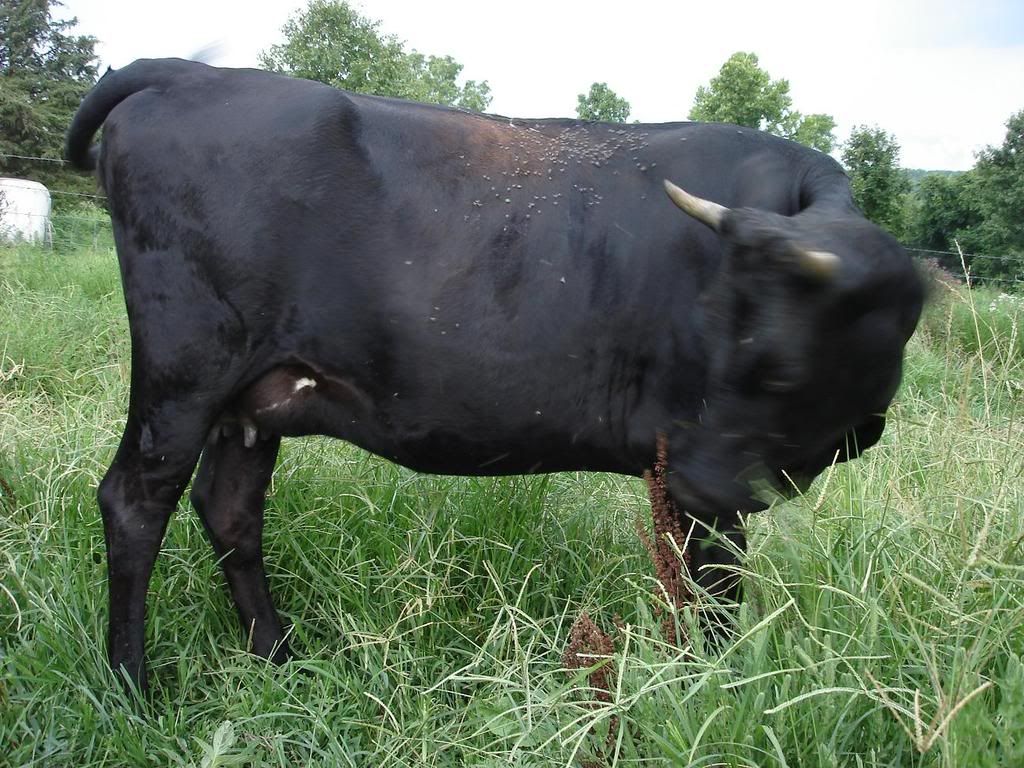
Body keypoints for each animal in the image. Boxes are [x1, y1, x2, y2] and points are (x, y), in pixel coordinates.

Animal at [65, 58, 923, 692]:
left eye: (779, 366)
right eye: (723, 334)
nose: (693, 475)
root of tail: (193, 71)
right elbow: (715, 583)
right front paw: (713, 681)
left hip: (255, 396)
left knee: (230, 509)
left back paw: (280, 658)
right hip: (187, 367)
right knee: (136, 502)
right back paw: (134, 687)